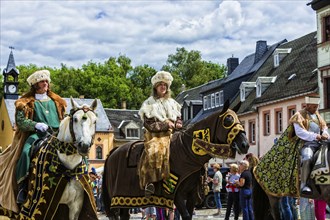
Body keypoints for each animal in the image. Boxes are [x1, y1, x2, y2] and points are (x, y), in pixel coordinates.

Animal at [102, 100, 249, 219]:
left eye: (239, 120)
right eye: (228, 120)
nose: (245, 144)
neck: (186, 152)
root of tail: (113, 153)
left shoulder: (191, 194)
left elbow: (188, 215)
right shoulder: (177, 194)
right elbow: (185, 215)